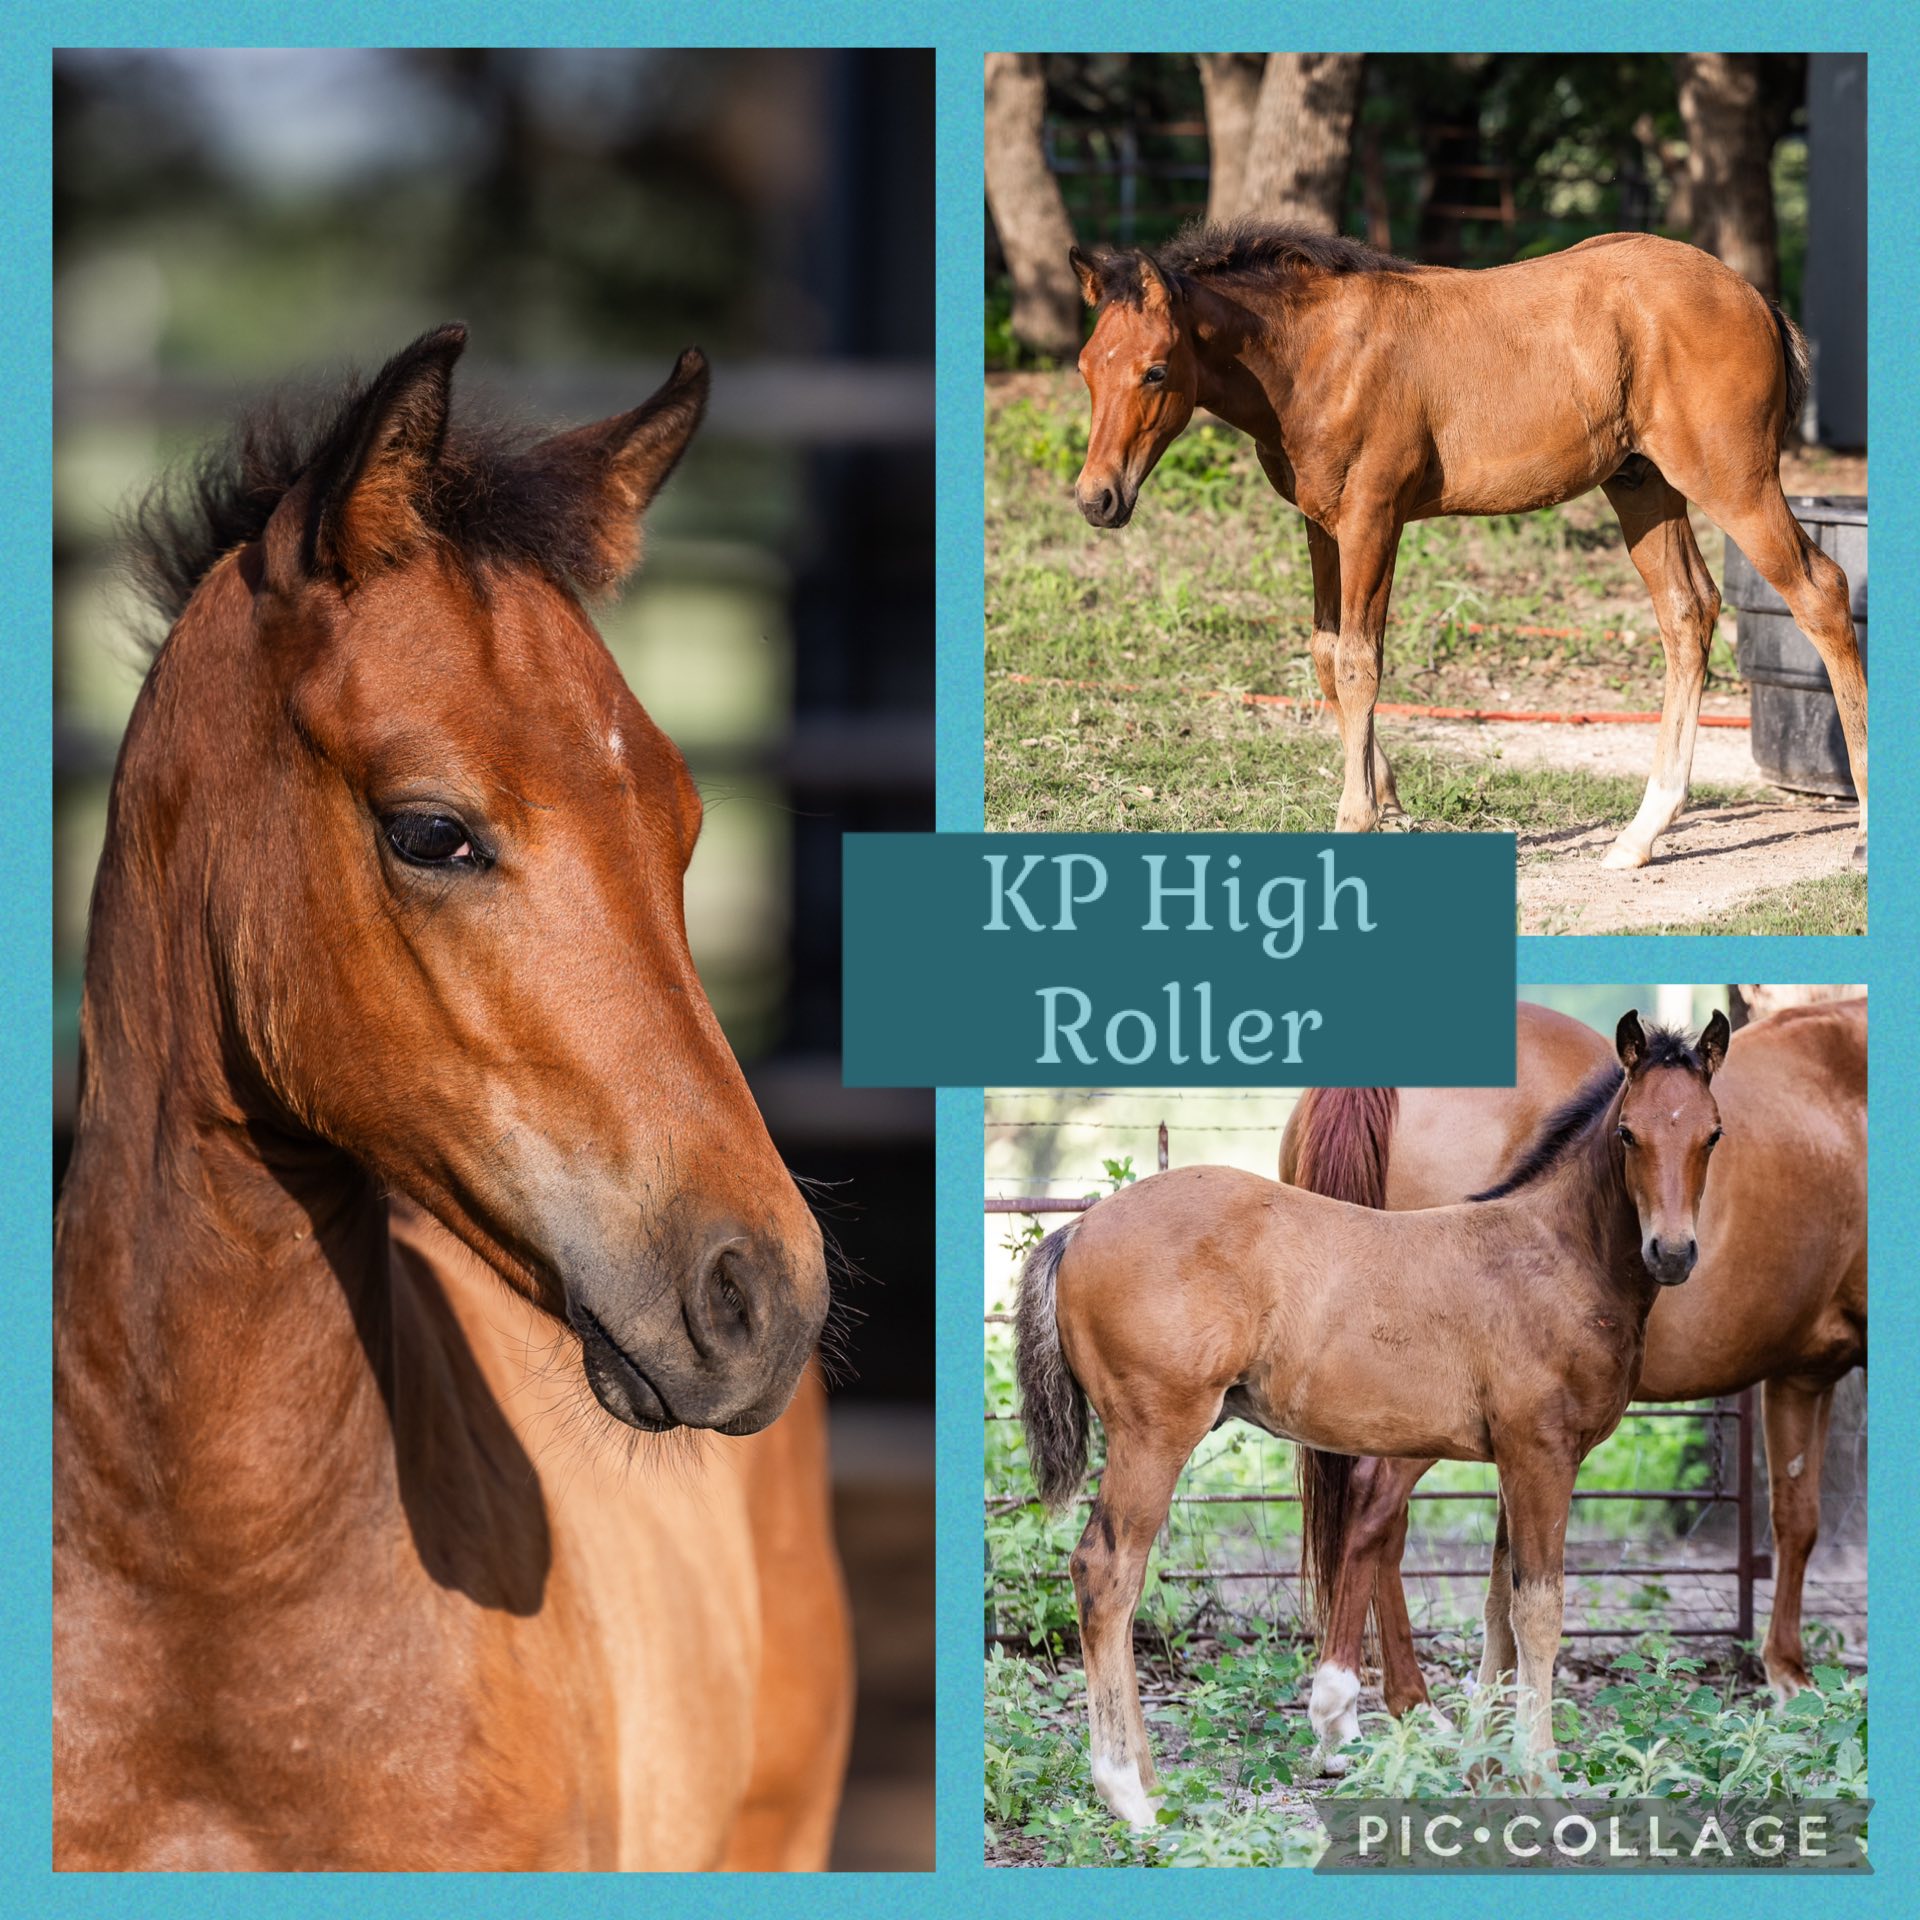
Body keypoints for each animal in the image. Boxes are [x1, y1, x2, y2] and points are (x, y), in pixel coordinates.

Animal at [1015, 1009, 1730, 1827]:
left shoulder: (1515, 1459)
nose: (1671, 1252)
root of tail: (1078, 1229)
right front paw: (1542, 1778)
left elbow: (1498, 1605)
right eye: (1629, 1135)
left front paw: (1486, 1768)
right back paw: (1128, 1793)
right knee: (1106, 1572)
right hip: (1153, 1431)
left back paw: (1155, 1785)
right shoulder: (1543, 1455)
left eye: (1712, 1133)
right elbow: (1539, 1611)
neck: (1555, 1254)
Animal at [1067, 222, 1866, 871]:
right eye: (1084, 367)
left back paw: (1858, 828)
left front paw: (1357, 816)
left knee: (1820, 592)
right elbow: (1326, 653)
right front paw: (1386, 798)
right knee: (1687, 611)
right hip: (1643, 486)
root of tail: (1753, 297)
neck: (1317, 357)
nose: (1096, 499)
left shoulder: (1373, 517)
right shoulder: (1322, 525)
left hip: (1733, 480)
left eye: (1155, 370)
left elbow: (1358, 662)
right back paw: (1641, 835)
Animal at [1281, 996, 1866, 1736]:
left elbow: (1794, 1513)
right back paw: (1392, 1704)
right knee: (1378, 1508)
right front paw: (1791, 1676)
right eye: (1626, 1135)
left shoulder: (1800, 1370)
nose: (1673, 1253)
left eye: (1715, 1136)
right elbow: (1798, 1519)